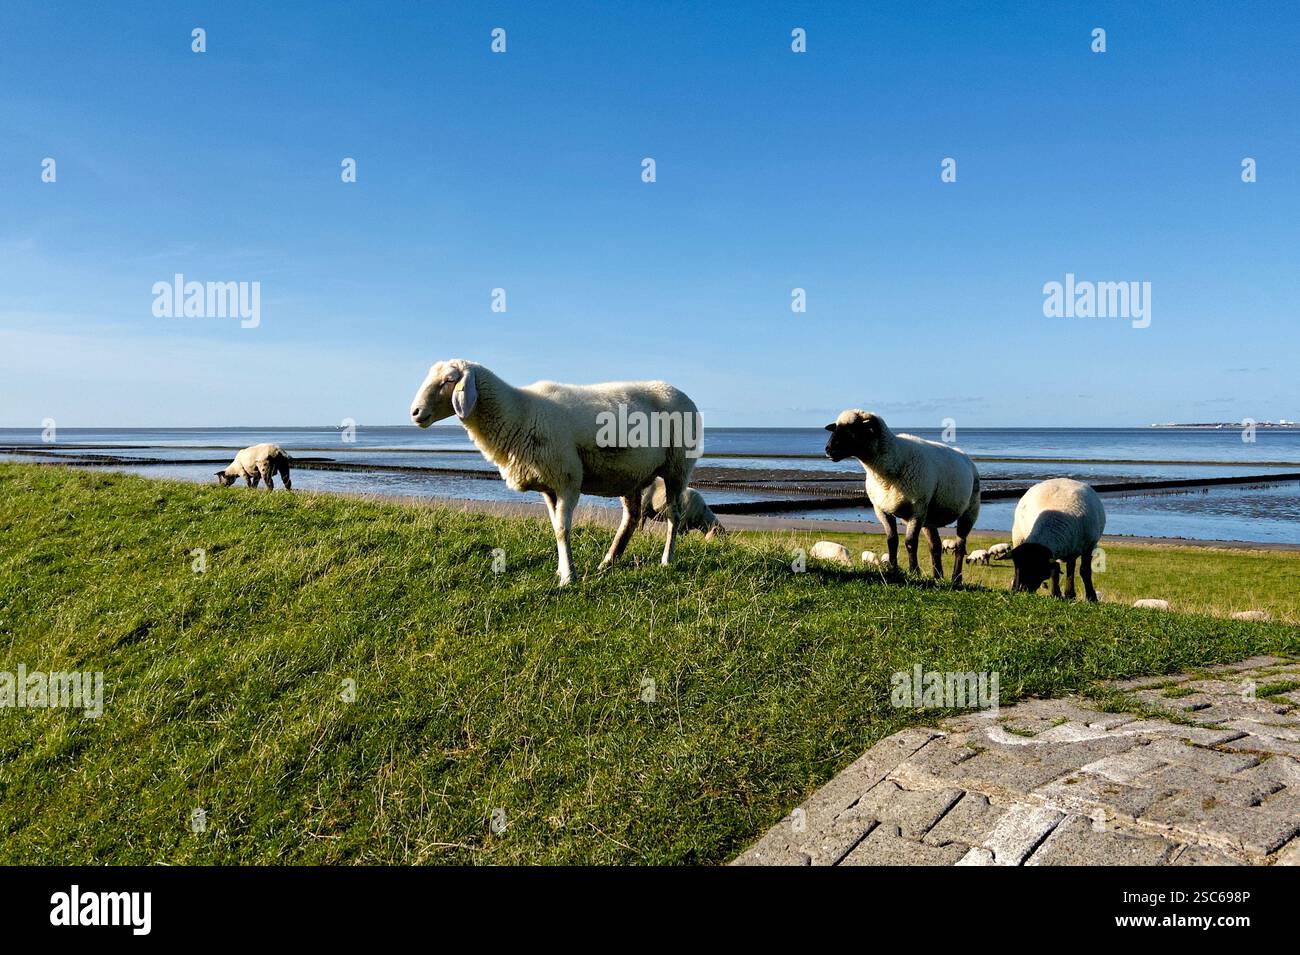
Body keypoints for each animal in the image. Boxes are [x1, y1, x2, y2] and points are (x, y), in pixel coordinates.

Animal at [410, 359, 700, 586]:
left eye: (449, 380)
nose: (415, 412)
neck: (519, 412)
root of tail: (682, 393)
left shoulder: (567, 480)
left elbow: (562, 529)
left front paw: (568, 577)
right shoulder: (548, 486)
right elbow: (555, 528)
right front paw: (562, 570)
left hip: (678, 465)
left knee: (674, 516)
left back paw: (666, 559)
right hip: (631, 474)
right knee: (631, 518)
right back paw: (608, 561)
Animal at [824, 410, 980, 583]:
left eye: (853, 430)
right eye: (836, 428)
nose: (828, 450)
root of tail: (966, 457)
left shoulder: (917, 509)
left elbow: (910, 542)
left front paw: (914, 572)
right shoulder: (881, 510)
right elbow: (892, 540)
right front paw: (893, 569)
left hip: (970, 511)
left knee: (960, 546)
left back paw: (956, 578)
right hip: (929, 517)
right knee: (935, 546)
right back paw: (937, 576)